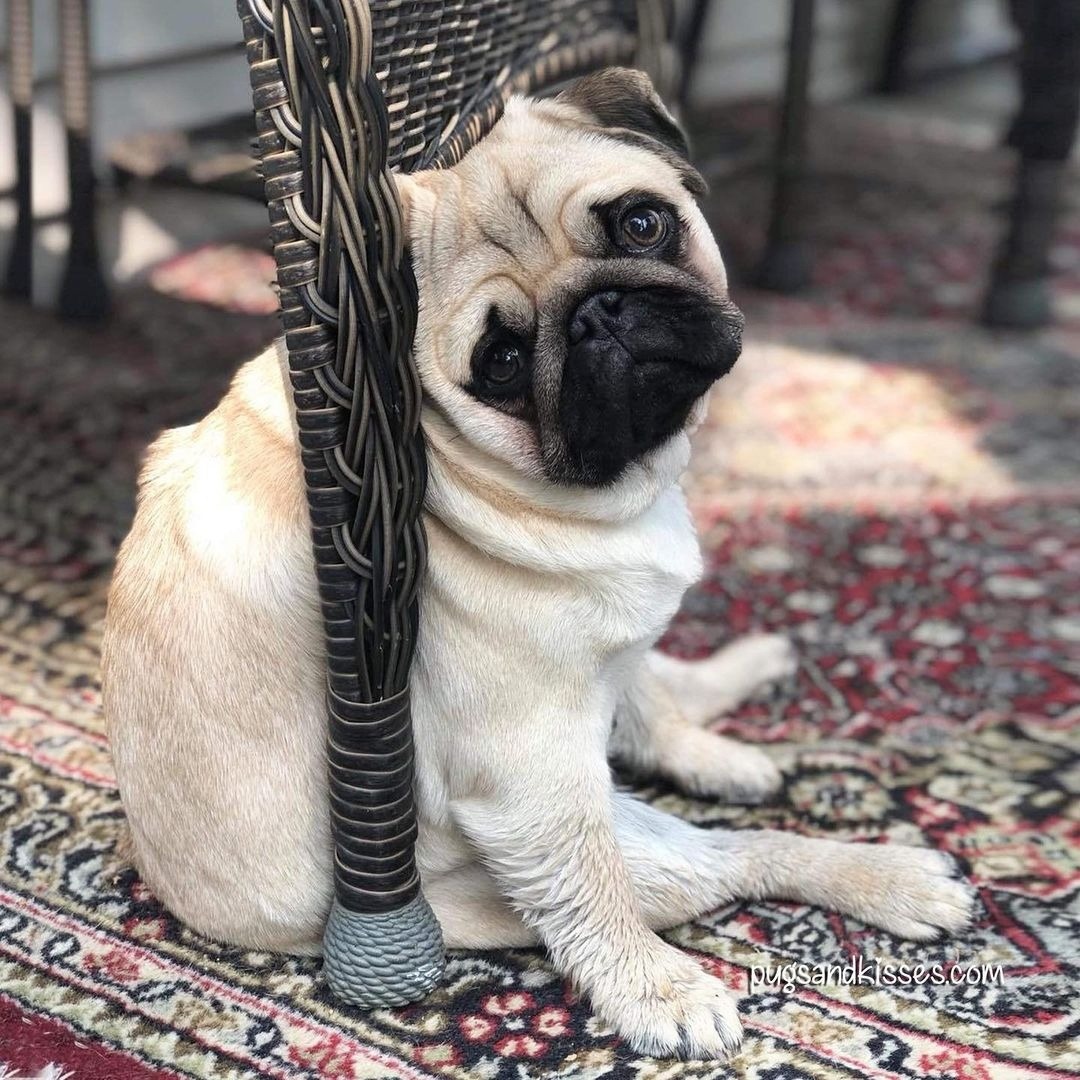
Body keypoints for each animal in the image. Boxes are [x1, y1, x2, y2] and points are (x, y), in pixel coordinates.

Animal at [105, 71, 976, 1058]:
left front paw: (701, 739)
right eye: (503, 361)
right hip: (621, 842)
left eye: (643, 223)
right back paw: (884, 885)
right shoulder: (534, 776)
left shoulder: (606, 635)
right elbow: (595, 899)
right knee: (731, 859)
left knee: (673, 720)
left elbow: (649, 698)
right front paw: (653, 992)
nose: (596, 312)